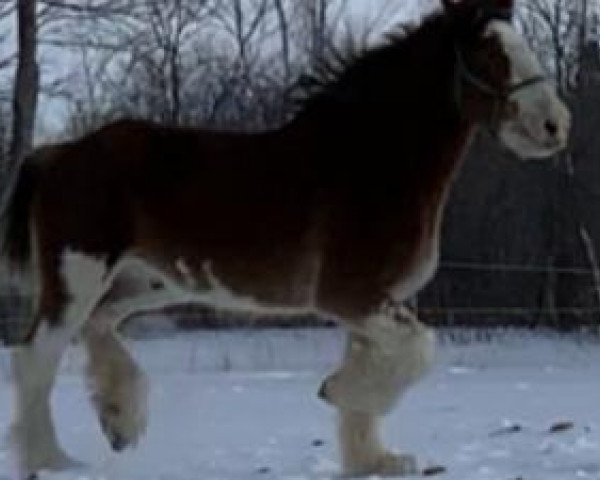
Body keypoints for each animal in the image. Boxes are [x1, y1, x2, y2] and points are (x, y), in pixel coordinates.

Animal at [1, 0, 572, 476]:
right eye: (491, 54)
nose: (554, 126)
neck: (372, 162)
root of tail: (58, 153)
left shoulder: (372, 304)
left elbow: (377, 365)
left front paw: (374, 459)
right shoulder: (350, 294)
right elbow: (417, 350)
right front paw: (338, 392)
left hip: (147, 282)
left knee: (98, 327)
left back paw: (119, 420)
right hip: (78, 275)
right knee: (36, 356)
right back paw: (52, 460)